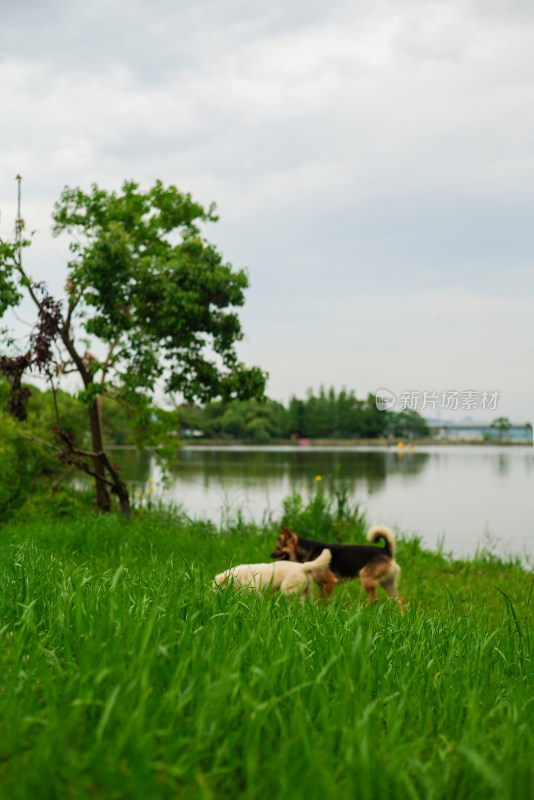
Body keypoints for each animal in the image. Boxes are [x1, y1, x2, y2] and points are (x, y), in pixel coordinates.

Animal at [272, 524, 406, 612]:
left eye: (278, 547)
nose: (271, 555)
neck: (308, 551)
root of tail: (386, 551)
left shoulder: (330, 582)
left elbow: (325, 601)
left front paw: (323, 612)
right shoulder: (320, 585)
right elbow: (319, 600)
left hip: (366, 578)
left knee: (374, 599)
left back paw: (361, 611)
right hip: (387, 584)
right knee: (400, 600)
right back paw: (401, 618)